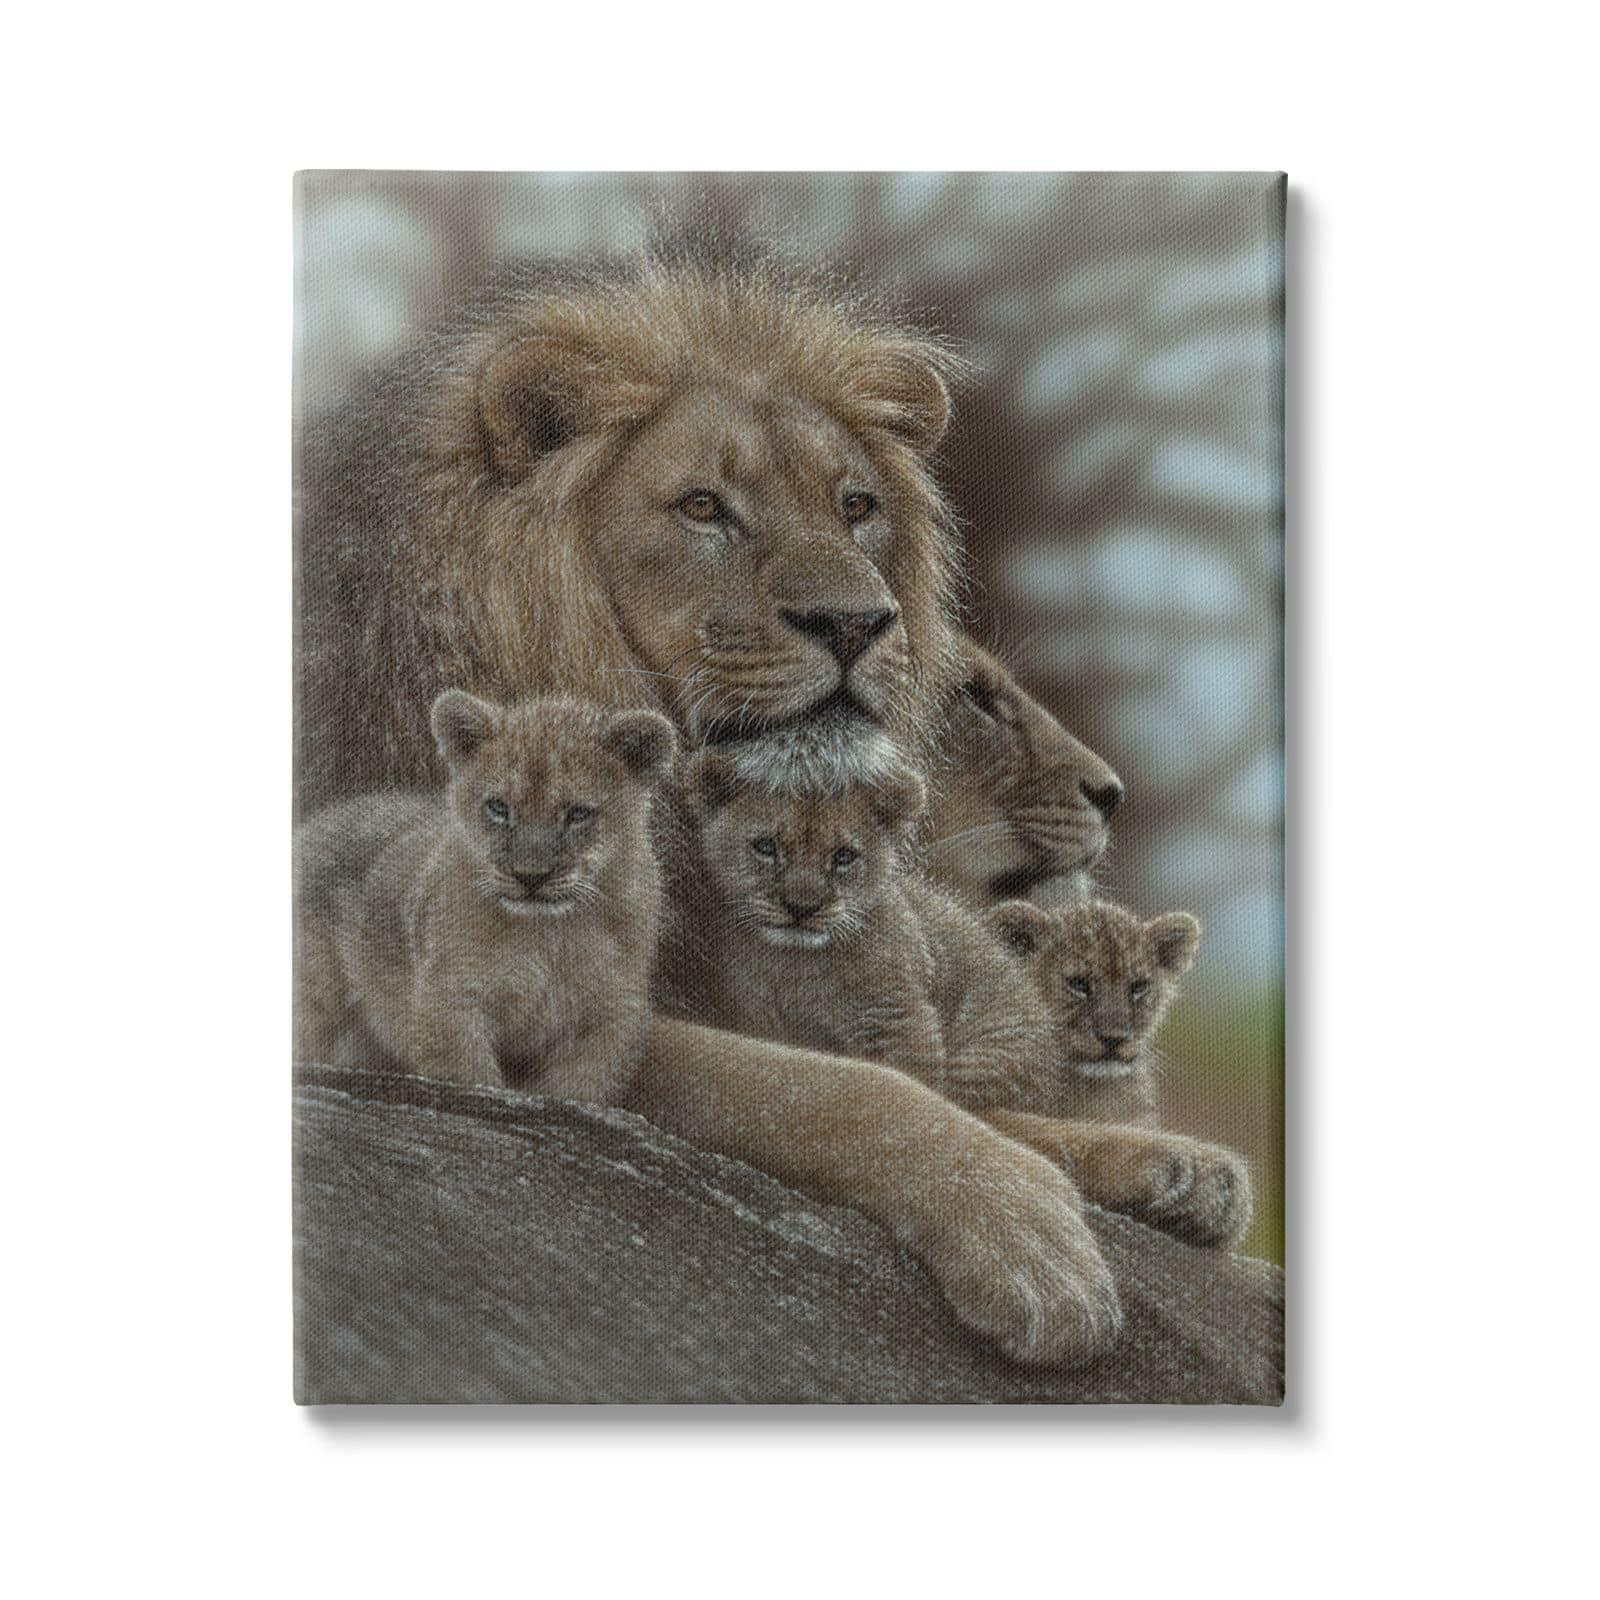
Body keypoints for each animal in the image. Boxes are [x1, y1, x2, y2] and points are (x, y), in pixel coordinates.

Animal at [297, 257, 1238, 1365]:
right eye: (703, 506)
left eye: (857, 504)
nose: (856, 621)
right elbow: (824, 1088)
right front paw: (1028, 1235)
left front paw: (1170, 1168)